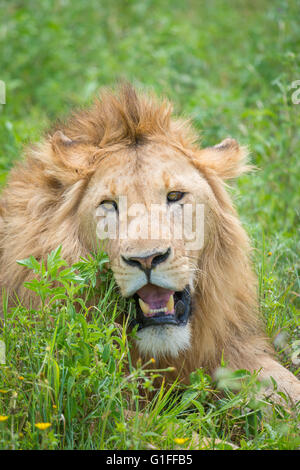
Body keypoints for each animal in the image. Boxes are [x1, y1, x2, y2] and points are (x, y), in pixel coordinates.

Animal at [0, 84, 300, 404]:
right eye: (109, 204)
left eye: (174, 196)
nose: (146, 260)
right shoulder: (85, 398)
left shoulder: (238, 347)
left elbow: (287, 387)